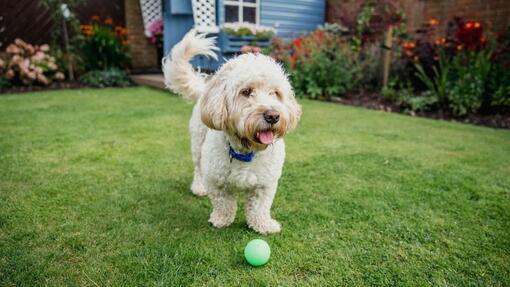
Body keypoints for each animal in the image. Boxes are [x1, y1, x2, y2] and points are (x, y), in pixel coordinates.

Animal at [162, 30, 298, 235]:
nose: (273, 116)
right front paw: (221, 220)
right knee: (198, 168)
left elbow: (259, 207)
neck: (246, 151)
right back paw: (198, 187)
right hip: (198, 145)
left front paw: (263, 224)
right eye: (246, 91)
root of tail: (206, 89)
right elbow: (223, 203)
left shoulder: (265, 184)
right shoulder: (215, 180)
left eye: (275, 93)